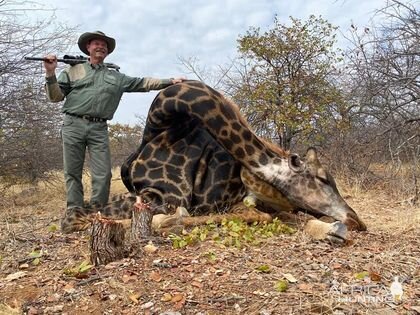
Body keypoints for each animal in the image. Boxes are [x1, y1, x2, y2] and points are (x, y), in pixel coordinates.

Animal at [60, 79, 366, 242]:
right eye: (323, 178)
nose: (357, 220)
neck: (159, 127)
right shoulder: (155, 196)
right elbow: (73, 215)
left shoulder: (159, 197)